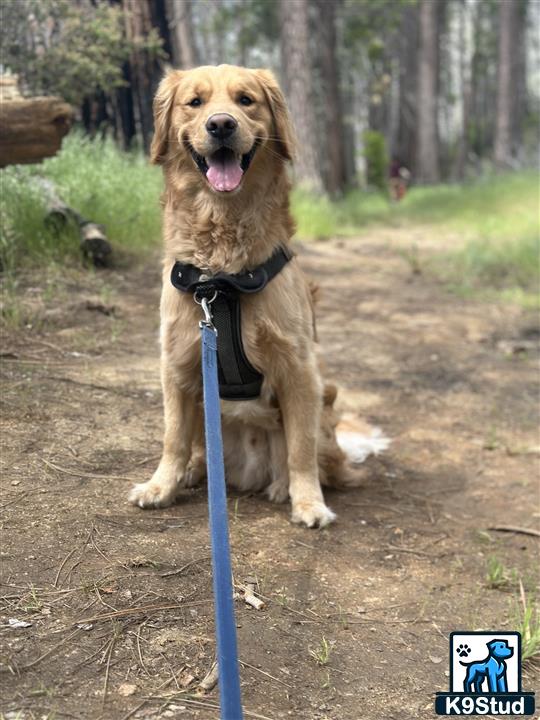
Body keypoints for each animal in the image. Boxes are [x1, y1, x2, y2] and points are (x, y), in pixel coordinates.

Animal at [128, 66, 360, 528]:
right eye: (195, 102)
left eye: (246, 100)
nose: (221, 124)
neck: (221, 279)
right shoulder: (176, 364)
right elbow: (173, 437)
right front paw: (161, 486)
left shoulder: (299, 369)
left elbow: (301, 449)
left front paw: (309, 503)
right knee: (197, 449)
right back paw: (194, 472)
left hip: (324, 404)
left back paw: (284, 487)